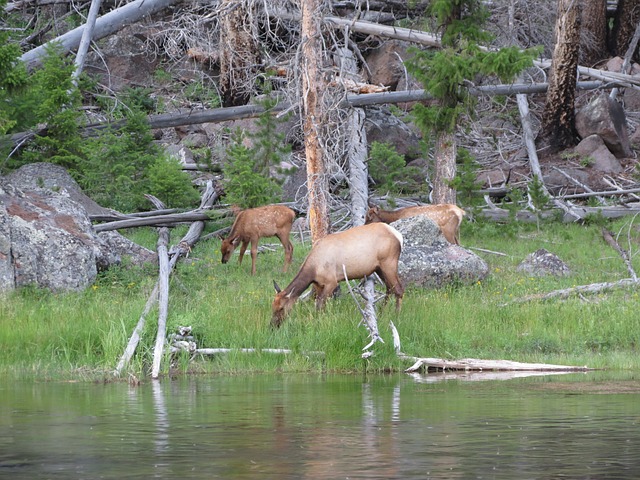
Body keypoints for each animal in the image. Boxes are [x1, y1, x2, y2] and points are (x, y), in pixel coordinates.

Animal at [272, 223, 404, 328]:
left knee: (399, 289)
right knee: (389, 288)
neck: (314, 270)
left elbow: (320, 305)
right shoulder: (319, 284)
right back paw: (381, 313)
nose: (273, 326)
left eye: (282, 308)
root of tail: (399, 236)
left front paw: (318, 322)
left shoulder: (332, 281)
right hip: (379, 268)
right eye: (272, 307)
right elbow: (319, 305)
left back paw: (396, 316)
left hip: (389, 263)